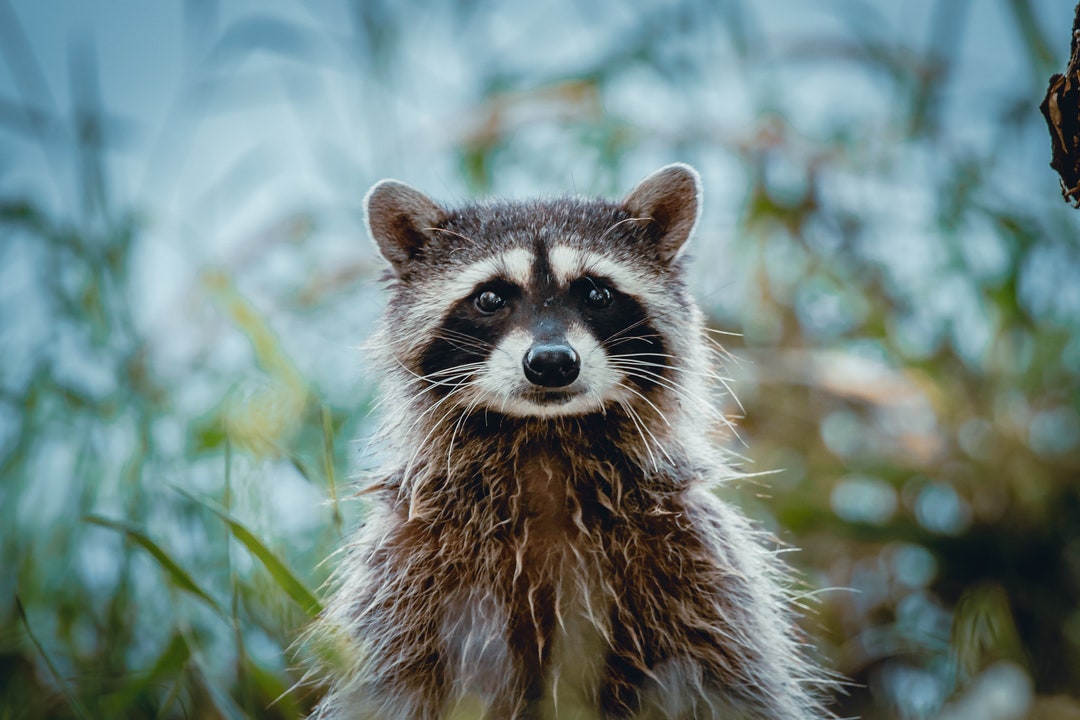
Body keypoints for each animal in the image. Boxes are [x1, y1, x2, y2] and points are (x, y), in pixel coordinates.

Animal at [308, 165, 834, 719]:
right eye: (490, 297)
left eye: (596, 294)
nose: (552, 362)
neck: (547, 441)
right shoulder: (404, 578)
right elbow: (395, 685)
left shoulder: (703, 567)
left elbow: (732, 682)